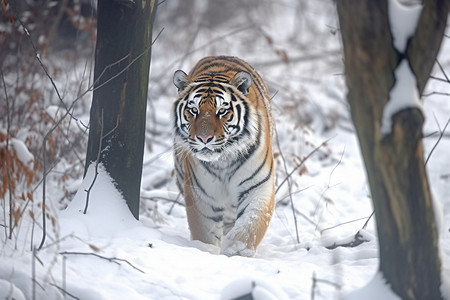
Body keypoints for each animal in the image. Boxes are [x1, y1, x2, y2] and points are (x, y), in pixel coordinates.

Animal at [171, 55, 274, 256]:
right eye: (193, 110)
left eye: (222, 111)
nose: (204, 138)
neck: (223, 161)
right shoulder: (201, 195)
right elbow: (205, 233)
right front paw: (208, 251)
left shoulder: (258, 186)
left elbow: (251, 225)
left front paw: (236, 250)